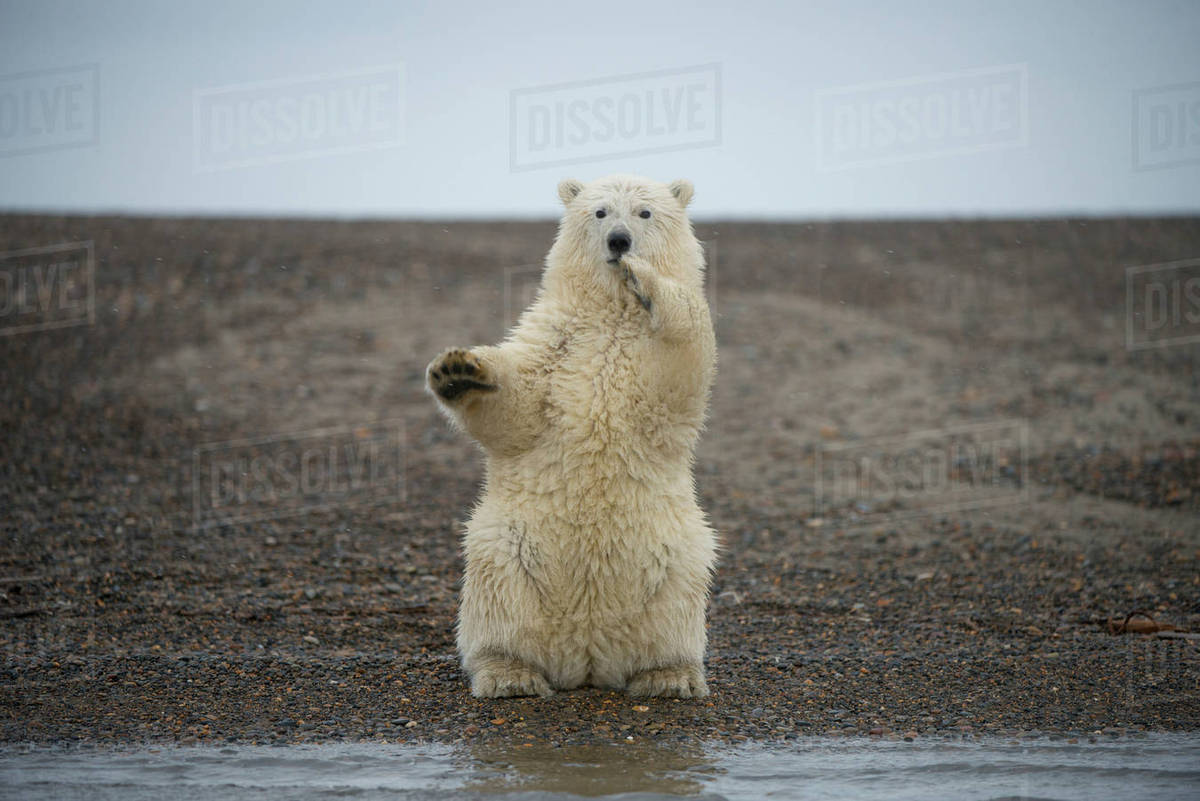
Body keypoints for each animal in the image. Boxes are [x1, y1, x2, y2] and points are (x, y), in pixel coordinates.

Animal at [425, 174, 717, 698]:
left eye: (644, 213)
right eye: (600, 212)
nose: (619, 242)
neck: (609, 314)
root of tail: (588, 657)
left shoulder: (652, 359)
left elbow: (683, 354)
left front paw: (645, 279)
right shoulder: (554, 339)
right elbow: (519, 405)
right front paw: (457, 370)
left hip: (675, 556)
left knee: (675, 606)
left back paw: (669, 676)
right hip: (509, 549)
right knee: (499, 602)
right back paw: (510, 674)